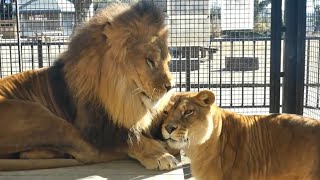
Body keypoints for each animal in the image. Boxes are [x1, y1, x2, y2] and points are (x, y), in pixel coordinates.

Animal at [0, 0, 178, 171]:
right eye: (150, 60)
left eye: (167, 61)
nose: (171, 87)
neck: (123, 97)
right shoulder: (97, 129)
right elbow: (132, 139)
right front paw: (159, 155)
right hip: (38, 114)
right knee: (89, 153)